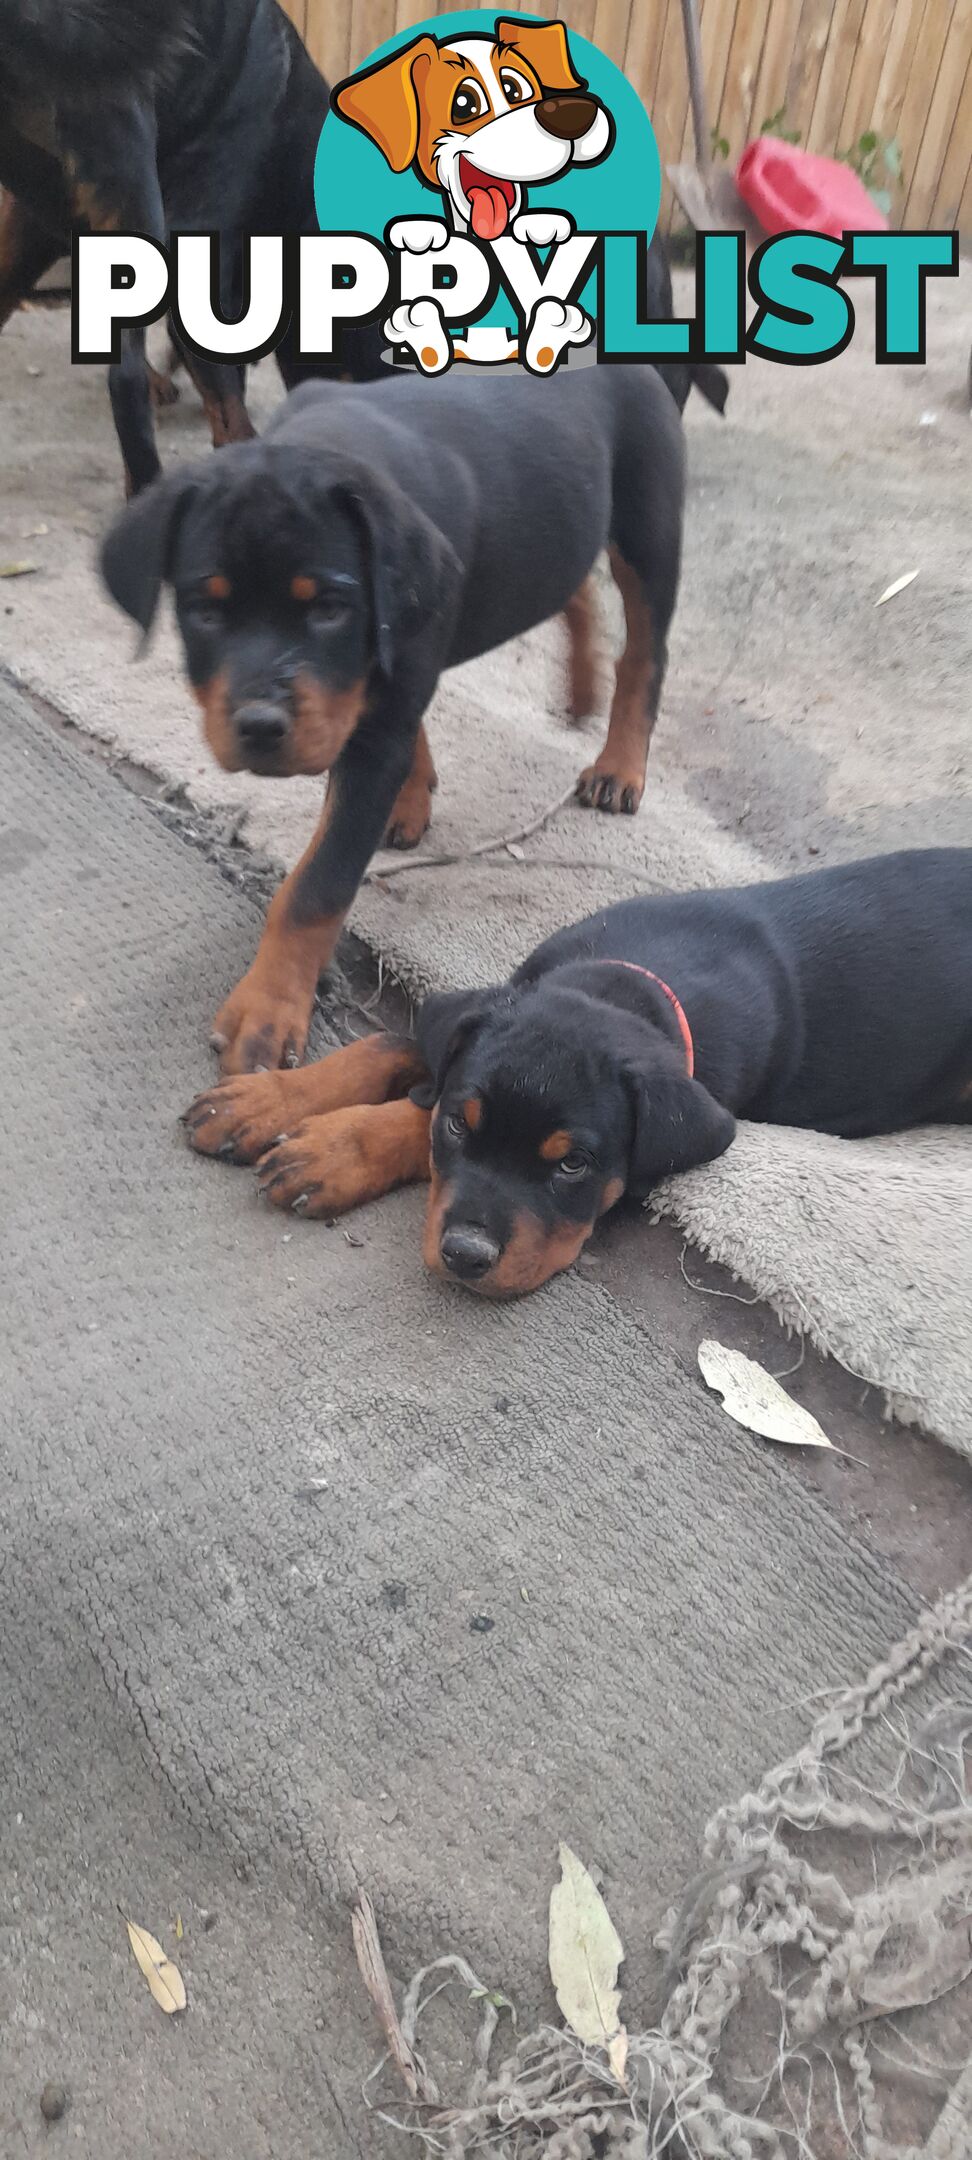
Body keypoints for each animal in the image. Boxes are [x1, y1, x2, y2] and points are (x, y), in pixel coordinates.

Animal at [102, 367, 686, 1080]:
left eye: (329, 608)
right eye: (203, 611)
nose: (261, 726)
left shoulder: (379, 708)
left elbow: (316, 887)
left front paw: (268, 1010)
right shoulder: (383, 679)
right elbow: (392, 727)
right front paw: (410, 797)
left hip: (648, 528)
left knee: (644, 653)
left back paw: (619, 765)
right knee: (571, 587)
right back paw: (579, 689)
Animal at [182, 851, 972, 1296]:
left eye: (573, 1167)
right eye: (461, 1126)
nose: (465, 1256)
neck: (623, 983)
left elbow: (411, 1105)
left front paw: (325, 1153)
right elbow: (395, 1051)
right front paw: (263, 1102)